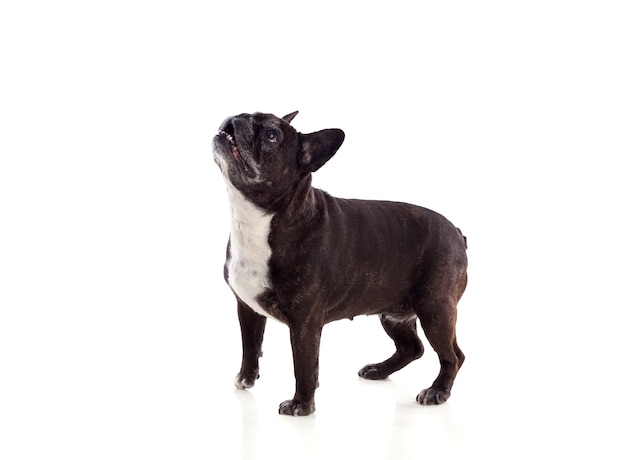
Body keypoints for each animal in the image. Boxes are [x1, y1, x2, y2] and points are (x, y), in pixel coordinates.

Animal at [212, 111, 466, 416]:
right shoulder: (247, 308)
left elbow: (303, 364)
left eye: (272, 136)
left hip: (435, 310)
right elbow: (250, 345)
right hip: (393, 312)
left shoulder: (305, 323)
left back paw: (438, 390)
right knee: (412, 348)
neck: (259, 219)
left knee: (452, 355)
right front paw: (246, 377)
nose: (239, 117)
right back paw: (379, 370)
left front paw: (301, 404)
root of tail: (458, 233)